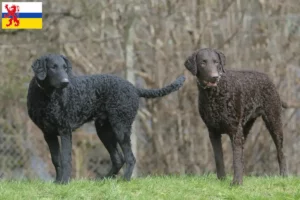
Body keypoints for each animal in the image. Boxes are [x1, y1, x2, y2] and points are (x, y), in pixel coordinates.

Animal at [27, 54, 185, 184]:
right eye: (53, 67)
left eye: (65, 68)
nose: (66, 82)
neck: (48, 97)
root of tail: (134, 88)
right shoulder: (48, 133)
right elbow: (56, 159)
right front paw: (57, 182)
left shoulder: (65, 130)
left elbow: (65, 158)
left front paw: (64, 182)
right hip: (104, 130)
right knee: (118, 159)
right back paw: (105, 180)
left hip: (121, 127)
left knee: (130, 158)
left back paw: (124, 180)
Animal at [184, 47, 288, 185]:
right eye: (203, 63)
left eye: (216, 62)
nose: (214, 77)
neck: (213, 95)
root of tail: (266, 77)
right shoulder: (213, 132)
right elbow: (219, 157)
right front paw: (222, 179)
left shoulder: (234, 131)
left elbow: (236, 159)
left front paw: (237, 183)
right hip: (245, 127)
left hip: (274, 120)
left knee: (280, 151)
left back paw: (284, 175)